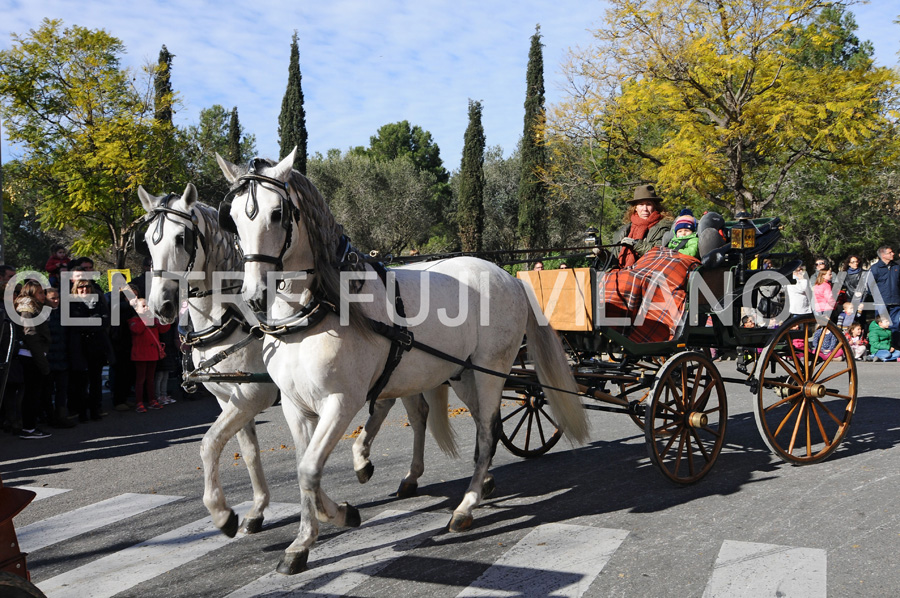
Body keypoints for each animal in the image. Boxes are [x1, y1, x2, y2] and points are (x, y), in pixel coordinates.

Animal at [214, 150, 588, 576]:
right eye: (234, 219)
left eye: (277, 214)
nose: (254, 295)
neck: (318, 310)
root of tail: (509, 277)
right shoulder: (296, 408)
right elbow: (303, 471)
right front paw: (305, 539)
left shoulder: (341, 403)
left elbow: (310, 471)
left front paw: (337, 515)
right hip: (464, 374)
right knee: (484, 426)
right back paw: (482, 484)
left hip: (491, 371)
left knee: (487, 433)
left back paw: (466, 507)